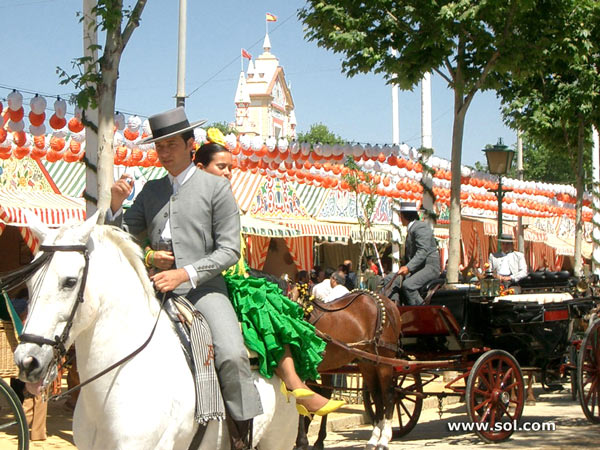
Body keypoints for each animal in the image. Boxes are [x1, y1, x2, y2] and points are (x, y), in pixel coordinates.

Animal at [296, 292, 404, 450]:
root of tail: (388, 302)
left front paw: (301, 441)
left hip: (385, 361)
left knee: (389, 395)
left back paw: (384, 439)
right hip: (368, 363)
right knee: (376, 396)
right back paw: (373, 439)